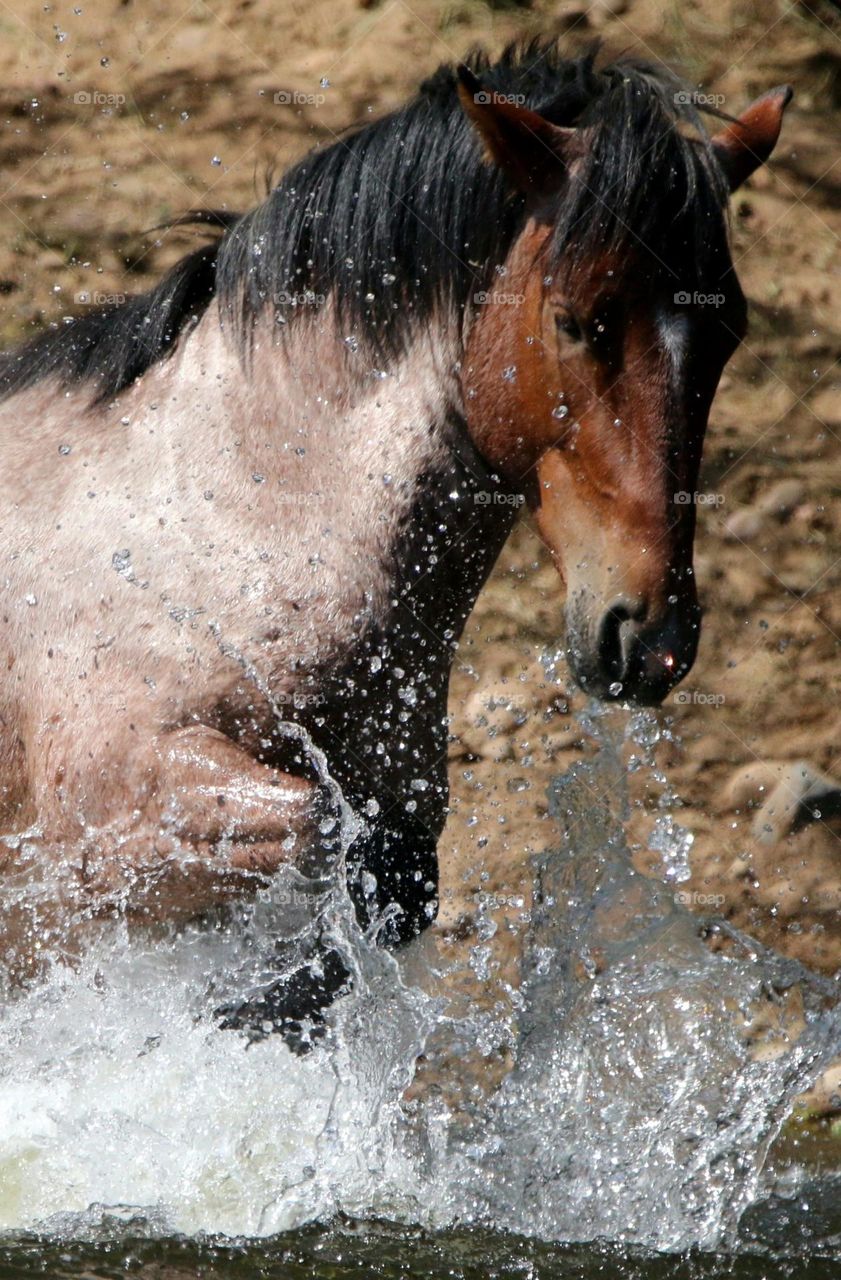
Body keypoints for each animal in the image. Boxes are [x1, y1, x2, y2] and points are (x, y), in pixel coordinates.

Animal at [0, 42, 790, 1045]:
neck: (217, 527)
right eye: (575, 319)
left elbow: (383, 890)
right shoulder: (116, 810)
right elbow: (315, 830)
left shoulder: (397, 807)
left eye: (727, 330)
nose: (649, 641)